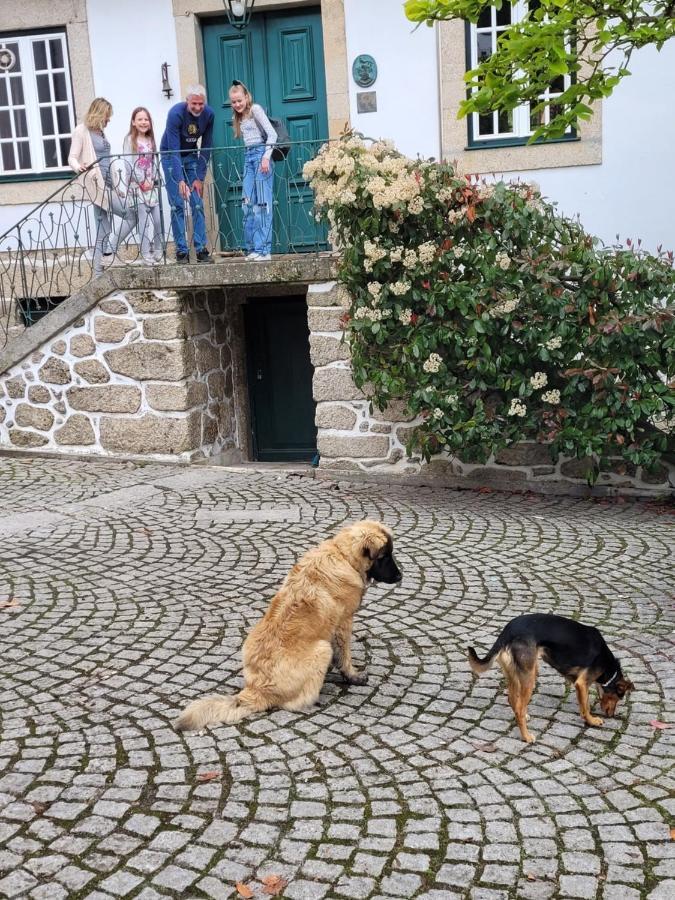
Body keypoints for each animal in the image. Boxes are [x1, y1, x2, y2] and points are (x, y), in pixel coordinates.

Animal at [174, 520, 402, 732]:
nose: (400, 576)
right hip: (321, 649)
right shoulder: (343, 623)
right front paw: (353, 675)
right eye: (384, 556)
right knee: (294, 702)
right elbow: (344, 654)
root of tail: (256, 690)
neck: (343, 555)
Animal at [470, 612, 632, 744]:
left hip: (515, 674)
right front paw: (592, 720)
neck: (607, 665)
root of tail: (506, 633)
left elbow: (583, 703)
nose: (611, 716)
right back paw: (526, 736)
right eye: (619, 698)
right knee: (519, 709)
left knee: (512, 699)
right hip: (529, 677)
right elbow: (585, 706)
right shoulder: (582, 683)